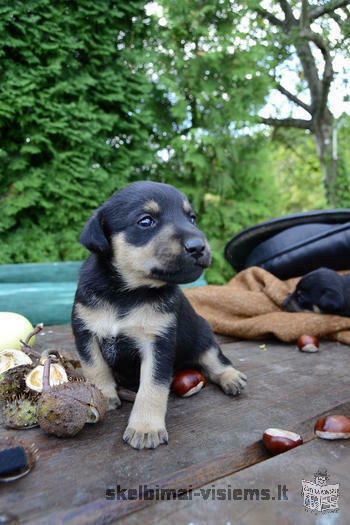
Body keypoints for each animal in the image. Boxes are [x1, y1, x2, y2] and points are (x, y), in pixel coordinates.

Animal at [71, 182, 246, 448]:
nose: (198, 246)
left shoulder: (158, 343)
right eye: (145, 221)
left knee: (215, 360)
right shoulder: (85, 331)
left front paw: (145, 428)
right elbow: (94, 367)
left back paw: (231, 377)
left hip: (203, 336)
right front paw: (103, 396)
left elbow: (152, 387)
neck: (126, 293)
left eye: (192, 218)